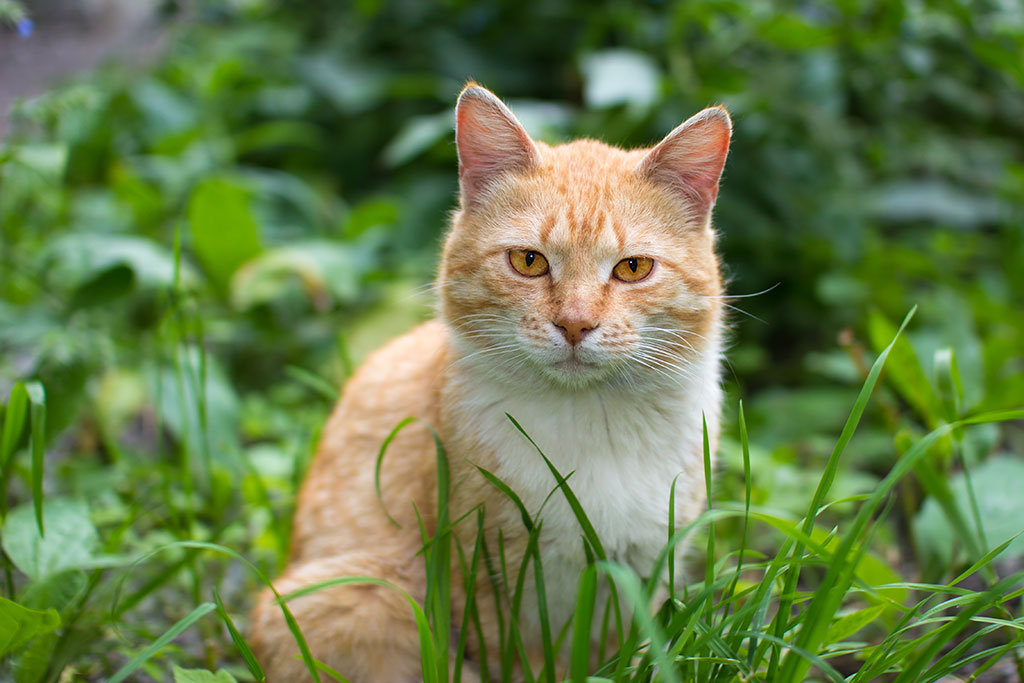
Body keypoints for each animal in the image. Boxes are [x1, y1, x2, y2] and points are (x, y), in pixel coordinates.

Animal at [250, 85, 733, 683]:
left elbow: (631, 654)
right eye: (528, 261)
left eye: (633, 268)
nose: (575, 324)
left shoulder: (646, 570)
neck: (588, 422)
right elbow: (521, 659)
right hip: (355, 595)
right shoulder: (485, 573)